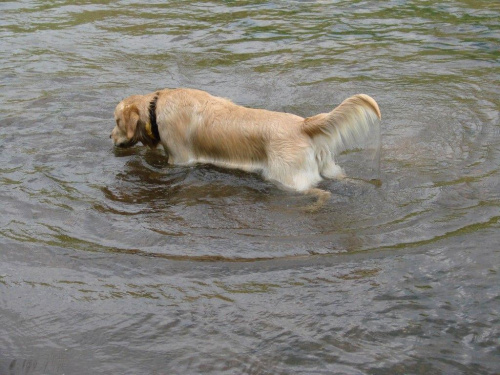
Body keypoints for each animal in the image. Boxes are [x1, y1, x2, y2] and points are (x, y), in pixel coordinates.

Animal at [111, 88, 380, 207]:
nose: (110, 137)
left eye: (116, 121)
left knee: (323, 193)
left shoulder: (179, 160)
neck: (156, 106)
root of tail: (304, 124)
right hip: (329, 168)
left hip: (287, 180)